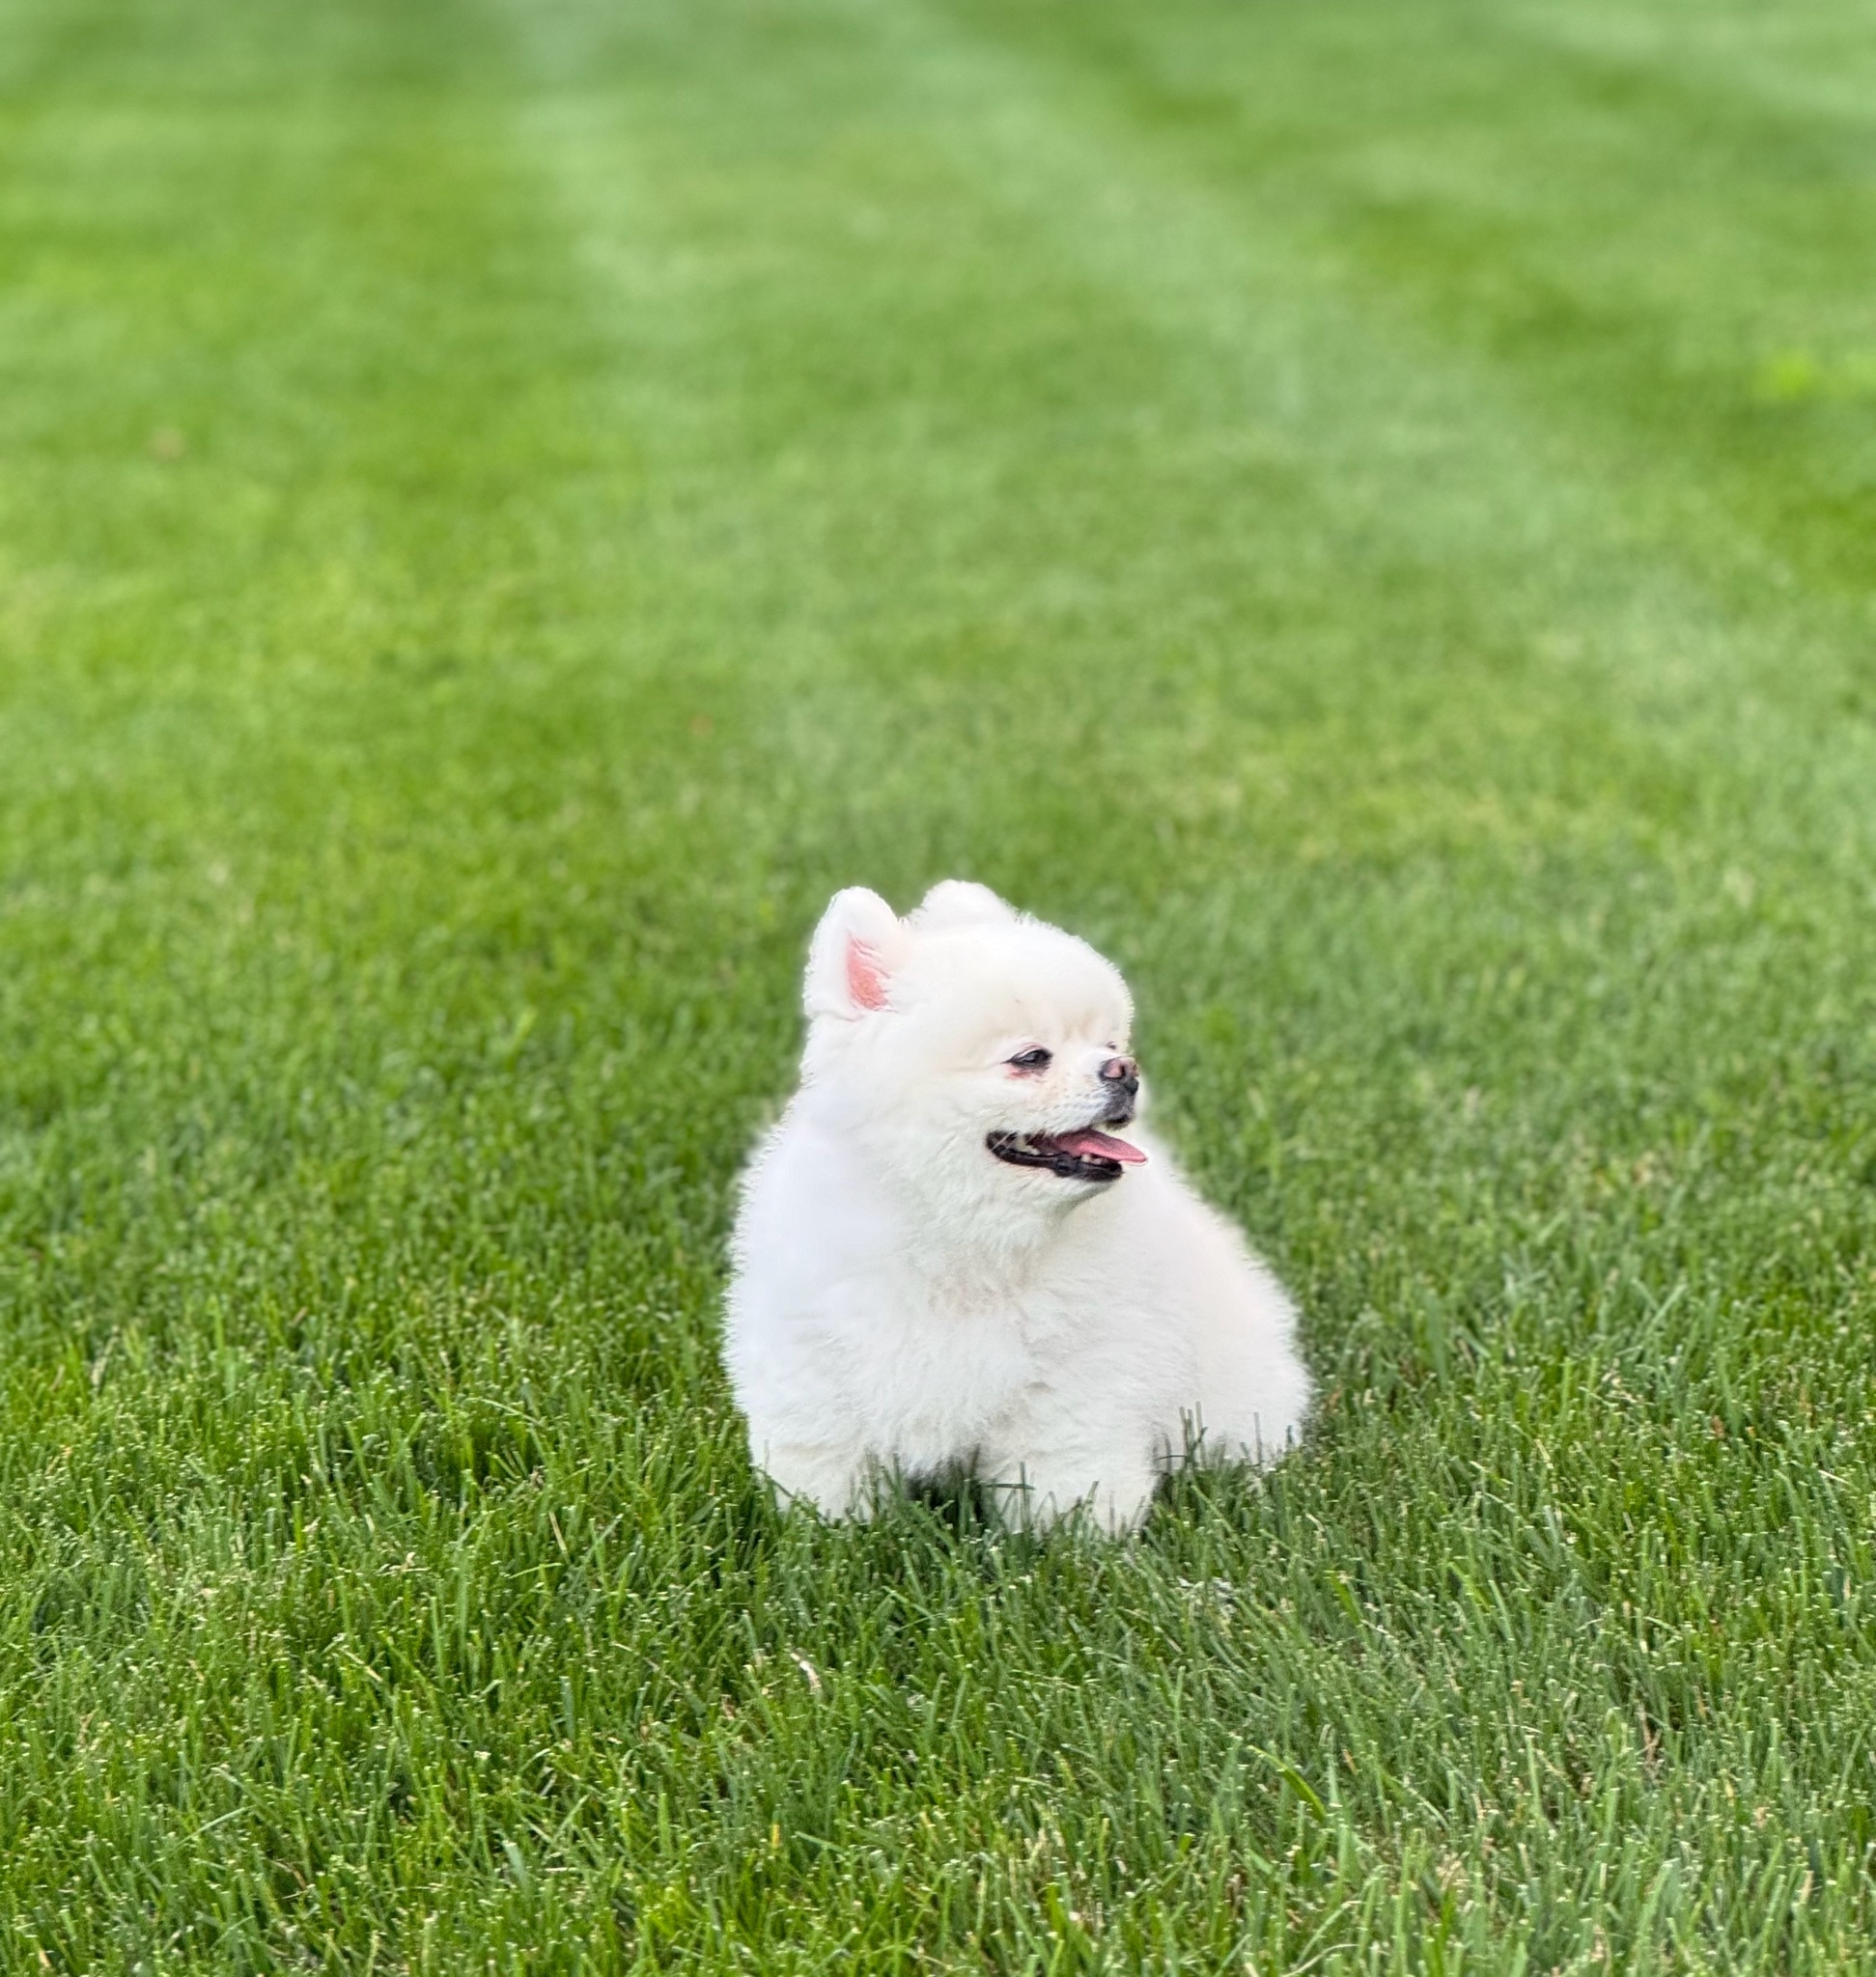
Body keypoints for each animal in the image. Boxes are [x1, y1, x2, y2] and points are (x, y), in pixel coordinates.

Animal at [723, 881, 1312, 1526]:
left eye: (1110, 1043)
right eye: (1031, 1058)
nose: (1126, 1070)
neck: (963, 1238)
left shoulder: (1071, 1379)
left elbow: (1067, 1467)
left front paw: (1077, 1537)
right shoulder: (816, 1356)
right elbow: (827, 1455)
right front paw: (826, 1529)